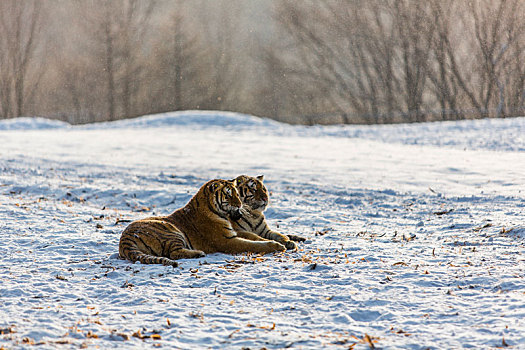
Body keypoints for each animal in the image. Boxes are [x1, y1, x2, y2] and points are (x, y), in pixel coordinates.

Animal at [118, 179, 284, 266]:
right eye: (228, 195)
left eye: (237, 194)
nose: (239, 205)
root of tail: (124, 239)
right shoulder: (226, 241)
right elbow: (252, 244)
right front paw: (277, 246)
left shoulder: (233, 233)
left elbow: (254, 237)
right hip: (171, 231)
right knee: (174, 253)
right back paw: (198, 253)